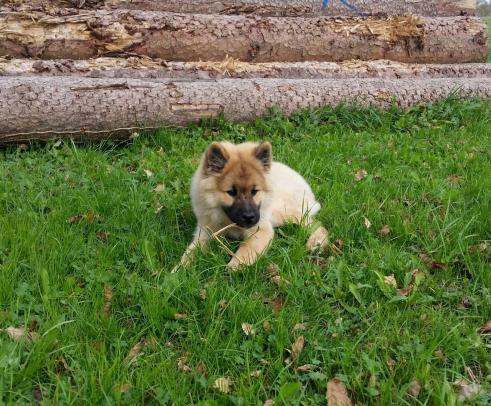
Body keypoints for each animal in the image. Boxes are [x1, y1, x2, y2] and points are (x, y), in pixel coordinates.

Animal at [172, 141, 327, 271]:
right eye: (231, 192)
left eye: (254, 191)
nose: (249, 217)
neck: (228, 221)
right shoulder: (206, 232)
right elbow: (191, 252)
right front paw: (179, 271)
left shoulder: (260, 229)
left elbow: (246, 250)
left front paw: (233, 267)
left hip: (280, 212)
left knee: (313, 223)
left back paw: (316, 242)